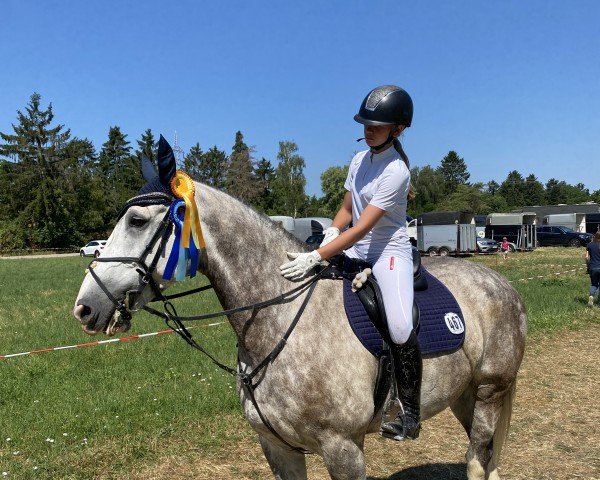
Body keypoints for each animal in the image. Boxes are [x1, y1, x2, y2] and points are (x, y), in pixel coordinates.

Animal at [74, 176, 524, 480]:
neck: (279, 321)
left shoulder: (343, 449)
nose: (85, 307)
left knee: (476, 462)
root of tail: (502, 284)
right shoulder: (278, 447)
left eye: (136, 220)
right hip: (464, 395)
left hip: (490, 392)